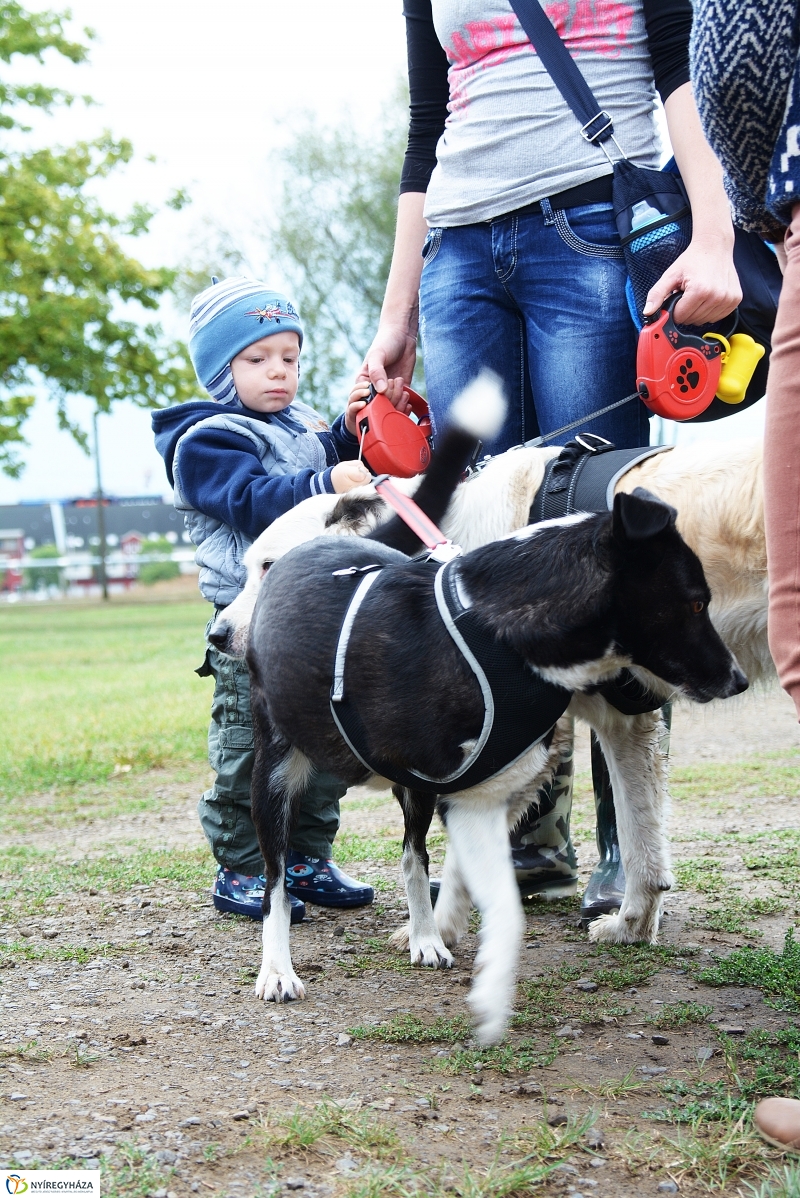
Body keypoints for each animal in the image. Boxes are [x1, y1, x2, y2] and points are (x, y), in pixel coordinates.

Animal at [246, 428, 747, 1039]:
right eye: (695, 603)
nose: (739, 680)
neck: (496, 633)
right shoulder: (468, 800)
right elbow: (499, 907)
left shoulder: (480, 794)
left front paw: (456, 950)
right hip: (276, 775)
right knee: (275, 881)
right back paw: (277, 968)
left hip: (413, 790)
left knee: (413, 859)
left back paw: (424, 937)